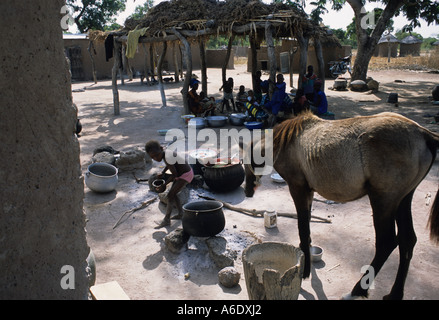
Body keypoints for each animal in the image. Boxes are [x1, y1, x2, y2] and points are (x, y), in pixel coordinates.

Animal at [246, 110, 439, 300]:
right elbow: (307, 229)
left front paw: (305, 272)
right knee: (408, 240)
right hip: (403, 199)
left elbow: (303, 230)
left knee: (387, 242)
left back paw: (357, 290)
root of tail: (423, 134)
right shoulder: (309, 192)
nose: (247, 192)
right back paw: (394, 294)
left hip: (383, 200)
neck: (285, 142)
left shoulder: (298, 189)